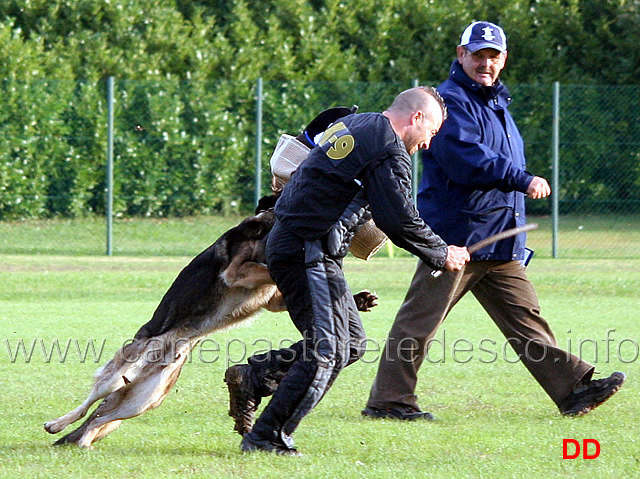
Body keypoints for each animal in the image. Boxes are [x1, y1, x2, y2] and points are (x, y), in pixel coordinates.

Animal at [45, 196, 378, 450]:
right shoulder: (237, 271)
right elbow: (265, 266)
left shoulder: (272, 298)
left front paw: (360, 299)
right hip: (119, 374)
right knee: (87, 405)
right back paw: (56, 424)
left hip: (143, 401)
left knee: (98, 420)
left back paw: (83, 443)